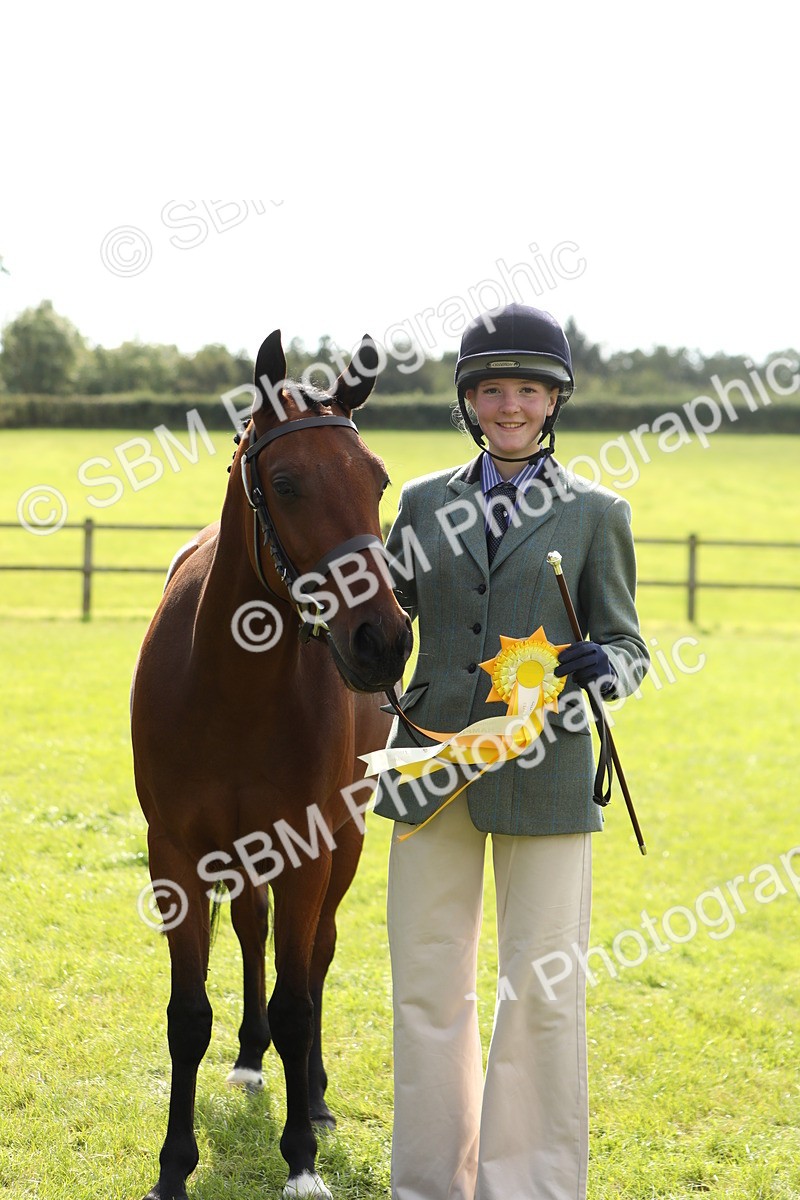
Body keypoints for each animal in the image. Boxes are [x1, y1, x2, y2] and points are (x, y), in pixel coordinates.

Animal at [131, 328, 413, 1199]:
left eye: (378, 479)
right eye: (285, 483)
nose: (383, 641)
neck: (231, 684)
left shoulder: (309, 849)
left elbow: (299, 998)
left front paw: (300, 1159)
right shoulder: (176, 854)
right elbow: (187, 1016)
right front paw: (172, 1167)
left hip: (339, 847)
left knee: (315, 958)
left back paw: (311, 1096)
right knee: (253, 931)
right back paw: (252, 1058)